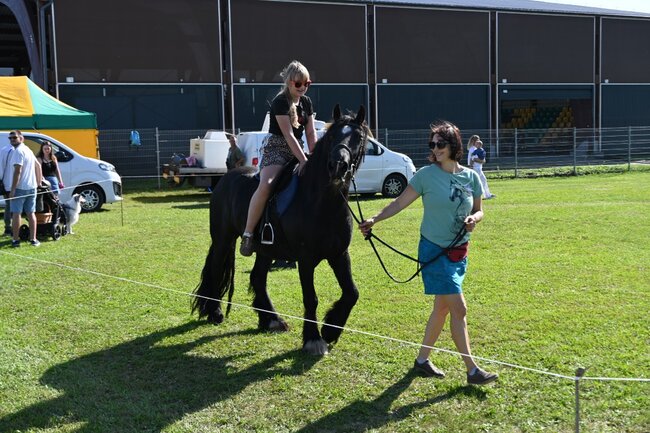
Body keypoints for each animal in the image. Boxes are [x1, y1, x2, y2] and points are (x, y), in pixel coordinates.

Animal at [191, 105, 369, 355]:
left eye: (358, 137)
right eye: (332, 136)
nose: (337, 166)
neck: (321, 202)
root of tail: (225, 180)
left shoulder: (339, 255)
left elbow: (352, 292)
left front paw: (331, 329)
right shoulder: (306, 259)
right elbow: (311, 298)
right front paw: (314, 339)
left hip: (265, 250)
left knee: (257, 278)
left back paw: (271, 319)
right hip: (223, 239)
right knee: (216, 269)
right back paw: (215, 312)